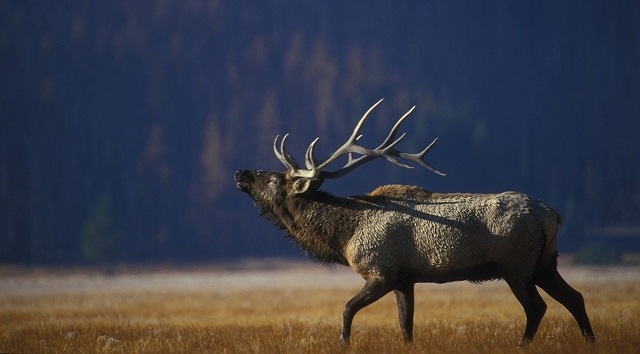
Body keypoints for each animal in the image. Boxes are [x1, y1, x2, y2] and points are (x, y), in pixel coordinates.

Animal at [234, 98, 596, 344]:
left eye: (274, 179)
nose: (240, 172)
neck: (343, 236)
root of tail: (553, 215)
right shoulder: (405, 279)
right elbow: (405, 325)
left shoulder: (381, 271)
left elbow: (348, 309)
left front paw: (344, 343)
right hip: (546, 263)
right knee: (575, 297)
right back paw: (589, 340)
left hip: (516, 265)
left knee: (537, 307)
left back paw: (523, 344)